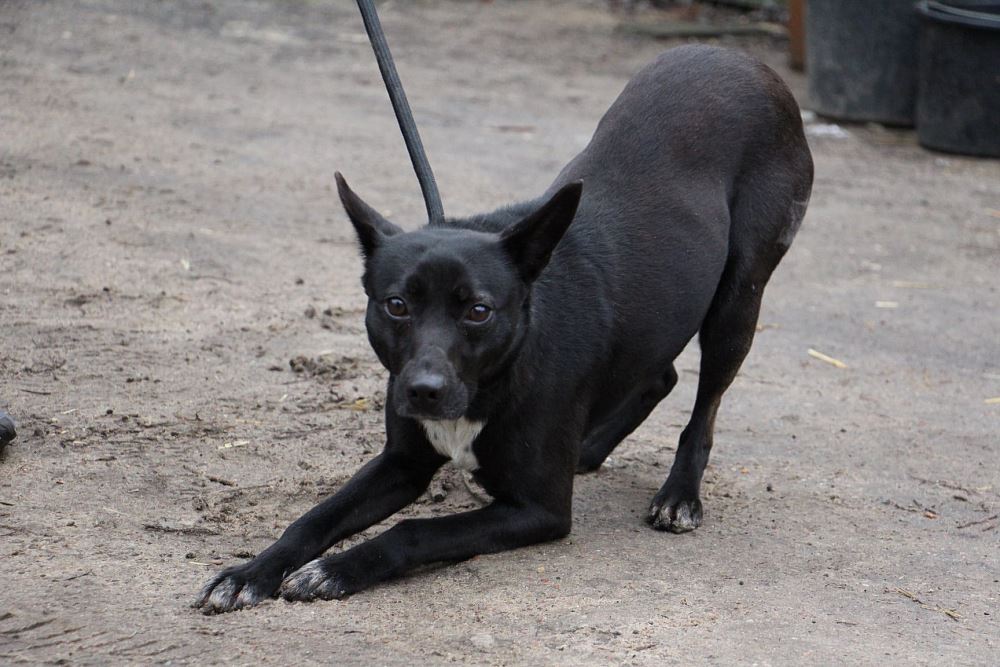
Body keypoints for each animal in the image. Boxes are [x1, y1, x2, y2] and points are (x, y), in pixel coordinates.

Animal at [195, 44, 813, 613]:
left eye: (478, 310)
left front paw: (334, 570)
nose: (423, 391)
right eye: (396, 305)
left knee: (705, 404)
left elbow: (412, 531)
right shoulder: (401, 463)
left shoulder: (538, 510)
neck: (499, 372)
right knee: (660, 375)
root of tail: (739, 58)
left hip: (737, 301)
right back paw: (591, 447)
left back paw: (680, 493)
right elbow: (315, 517)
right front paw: (251, 572)